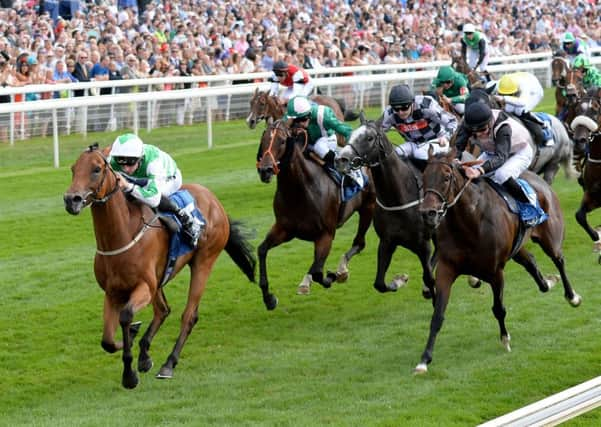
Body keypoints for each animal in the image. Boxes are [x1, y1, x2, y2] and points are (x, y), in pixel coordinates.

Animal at [63, 143, 255, 388]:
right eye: (73, 169)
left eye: (96, 169)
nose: (72, 200)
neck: (122, 235)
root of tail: (214, 199)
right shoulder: (113, 292)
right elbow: (107, 340)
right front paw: (134, 339)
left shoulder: (143, 286)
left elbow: (126, 316)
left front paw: (129, 375)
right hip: (160, 278)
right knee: (163, 310)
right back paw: (145, 355)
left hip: (204, 262)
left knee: (188, 316)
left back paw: (168, 363)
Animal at [256, 118, 376, 310]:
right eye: (264, 140)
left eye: (281, 141)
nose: (265, 170)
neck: (299, 190)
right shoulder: (284, 229)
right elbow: (261, 250)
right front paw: (269, 298)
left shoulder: (326, 234)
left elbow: (319, 272)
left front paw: (332, 276)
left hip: (368, 207)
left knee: (359, 243)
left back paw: (341, 270)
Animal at [332, 115, 436, 300]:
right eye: (351, 134)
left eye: (369, 138)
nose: (340, 160)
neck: (398, 197)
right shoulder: (387, 242)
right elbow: (379, 284)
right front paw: (399, 280)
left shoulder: (423, 244)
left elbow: (430, 279)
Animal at [412, 148, 580, 374]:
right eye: (424, 177)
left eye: (446, 177)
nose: (427, 214)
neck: (470, 221)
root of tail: (540, 180)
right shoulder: (446, 269)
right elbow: (438, 315)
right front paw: (424, 359)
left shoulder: (495, 271)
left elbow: (498, 308)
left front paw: (505, 339)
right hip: (518, 249)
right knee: (531, 262)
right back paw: (548, 282)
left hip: (550, 238)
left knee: (559, 260)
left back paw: (572, 296)